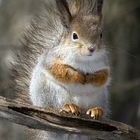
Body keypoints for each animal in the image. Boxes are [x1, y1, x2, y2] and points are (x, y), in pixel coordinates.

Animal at [12, 0, 110, 139]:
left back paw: (96, 110)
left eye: (101, 35)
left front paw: (92, 78)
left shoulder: (104, 63)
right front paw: (78, 76)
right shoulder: (50, 60)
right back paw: (68, 107)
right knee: (56, 105)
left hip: (100, 96)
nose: (91, 48)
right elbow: (60, 70)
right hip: (51, 92)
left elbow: (103, 75)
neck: (84, 60)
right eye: (74, 36)